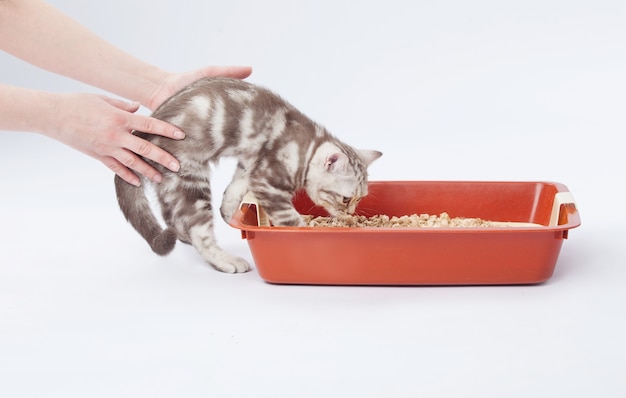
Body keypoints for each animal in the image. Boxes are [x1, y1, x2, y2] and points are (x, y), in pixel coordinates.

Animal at [116, 76, 380, 272]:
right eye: (345, 199)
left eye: (359, 199)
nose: (350, 213)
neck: (305, 148)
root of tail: (143, 134)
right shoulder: (268, 182)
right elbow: (290, 220)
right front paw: (307, 232)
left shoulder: (250, 165)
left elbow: (235, 188)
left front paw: (227, 211)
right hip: (190, 179)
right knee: (200, 233)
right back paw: (226, 260)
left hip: (171, 182)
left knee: (172, 215)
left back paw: (184, 235)